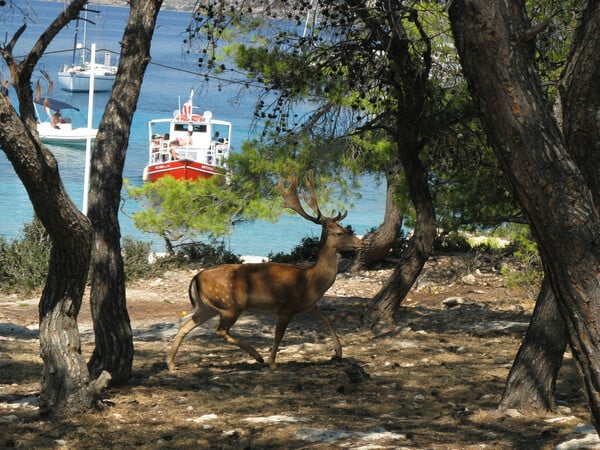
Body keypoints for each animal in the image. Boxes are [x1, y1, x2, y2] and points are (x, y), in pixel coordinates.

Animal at [165, 171, 360, 370]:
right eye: (339, 233)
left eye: (345, 228)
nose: (360, 242)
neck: (310, 281)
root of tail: (195, 277)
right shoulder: (286, 307)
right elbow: (278, 335)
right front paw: (272, 363)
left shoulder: (309, 306)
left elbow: (328, 319)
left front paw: (339, 352)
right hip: (229, 305)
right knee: (219, 330)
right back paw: (257, 356)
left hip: (207, 307)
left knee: (185, 326)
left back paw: (171, 364)